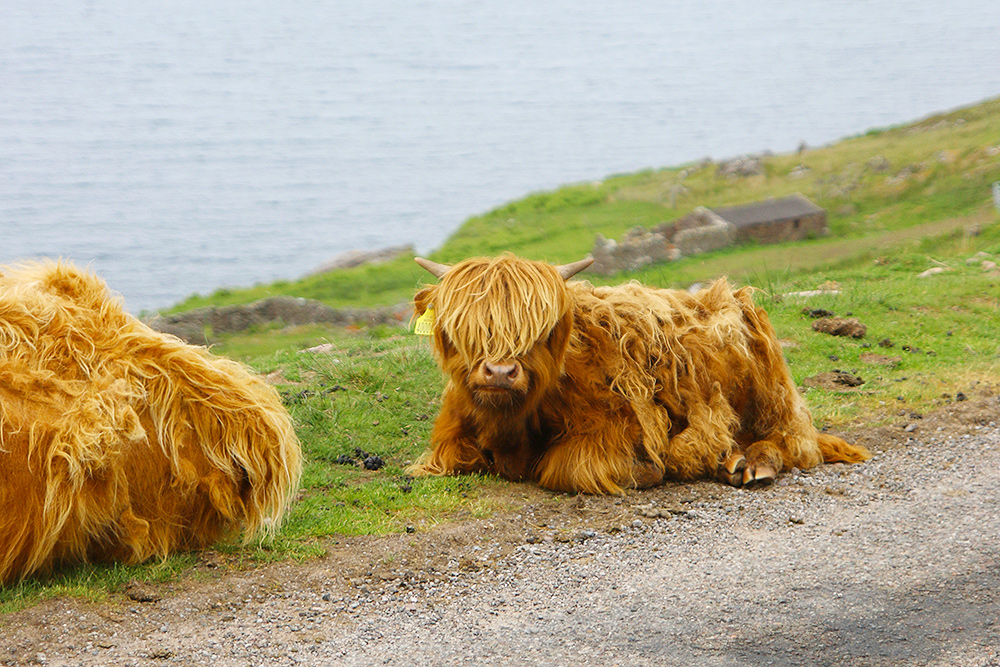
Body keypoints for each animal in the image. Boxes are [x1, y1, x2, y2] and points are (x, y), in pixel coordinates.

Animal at [406, 256, 868, 496]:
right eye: (464, 326)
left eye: (543, 328)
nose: (500, 372)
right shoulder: (449, 440)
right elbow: (441, 461)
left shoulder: (612, 433)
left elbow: (567, 469)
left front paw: (651, 471)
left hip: (771, 396)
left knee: (792, 441)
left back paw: (752, 463)